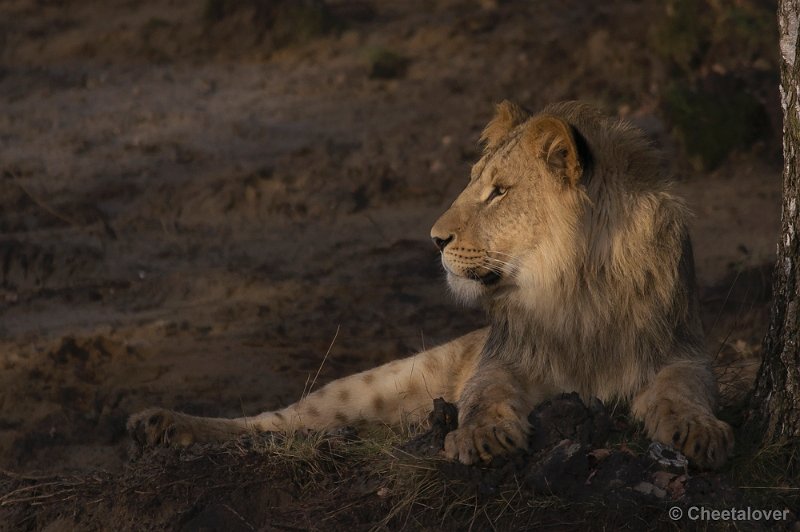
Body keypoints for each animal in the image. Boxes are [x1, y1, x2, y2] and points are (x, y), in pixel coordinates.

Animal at [128, 101, 736, 470]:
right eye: (473, 183)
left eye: (498, 192)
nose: (435, 238)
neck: (574, 287)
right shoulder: (499, 358)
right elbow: (484, 395)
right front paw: (483, 437)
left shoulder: (682, 349)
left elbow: (683, 392)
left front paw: (698, 433)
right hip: (381, 382)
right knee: (276, 422)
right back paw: (158, 424)